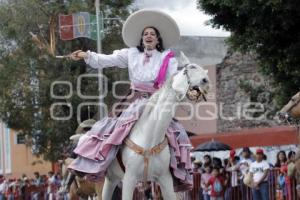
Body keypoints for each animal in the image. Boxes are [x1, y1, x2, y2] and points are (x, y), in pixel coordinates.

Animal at [101, 52, 209, 200]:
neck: (149, 136)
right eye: (192, 67)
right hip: (111, 179)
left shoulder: (165, 180)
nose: (206, 80)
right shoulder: (129, 179)